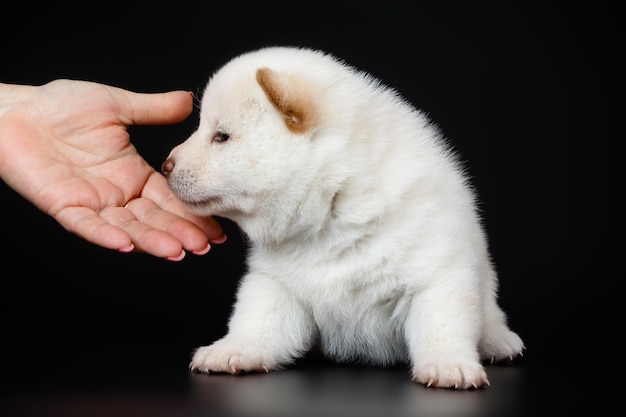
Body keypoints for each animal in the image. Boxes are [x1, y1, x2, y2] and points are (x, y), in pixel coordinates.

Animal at [161, 47, 520, 388]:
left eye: (221, 136)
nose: (165, 166)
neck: (332, 210)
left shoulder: (436, 270)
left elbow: (441, 325)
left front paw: (450, 366)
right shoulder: (279, 284)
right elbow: (256, 321)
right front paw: (231, 350)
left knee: (490, 315)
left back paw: (499, 342)